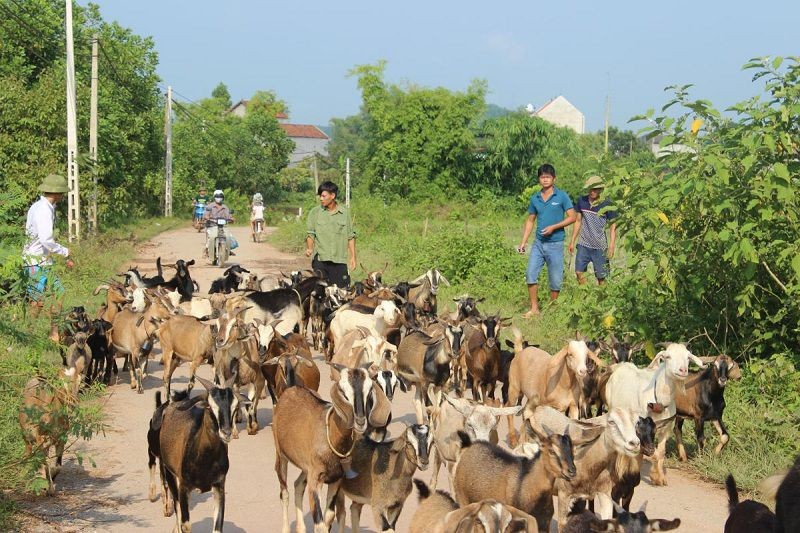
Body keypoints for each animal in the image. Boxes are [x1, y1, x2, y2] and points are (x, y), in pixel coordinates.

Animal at [156, 374, 242, 532]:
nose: (226, 433)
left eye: (235, 406)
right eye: (209, 407)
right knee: (177, 505)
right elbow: (185, 524)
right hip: (169, 473)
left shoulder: (219, 485)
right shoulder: (184, 487)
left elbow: (217, 527)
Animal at [270, 364, 392, 532]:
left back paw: (300, 528)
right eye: (342, 390)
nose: (360, 421)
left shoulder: (336, 479)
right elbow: (320, 524)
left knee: (298, 485)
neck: (333, 439)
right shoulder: (315, 480)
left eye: (369, 390)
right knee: (284, 493)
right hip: (281, 455)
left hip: (306, 468)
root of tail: (290, 389)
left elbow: (329, 516)